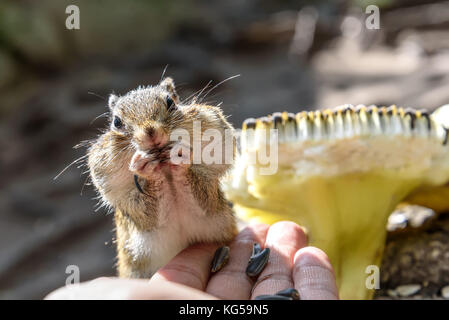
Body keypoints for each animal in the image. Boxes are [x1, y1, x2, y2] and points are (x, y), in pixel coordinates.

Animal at [85, 77, 238, 278]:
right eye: (116, 122)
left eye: (170, 102)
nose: (150, 133)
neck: (166, 174)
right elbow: (148, 217)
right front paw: (145, 167)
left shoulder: (213, 206)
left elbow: (206, 203)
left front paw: (179, 155)